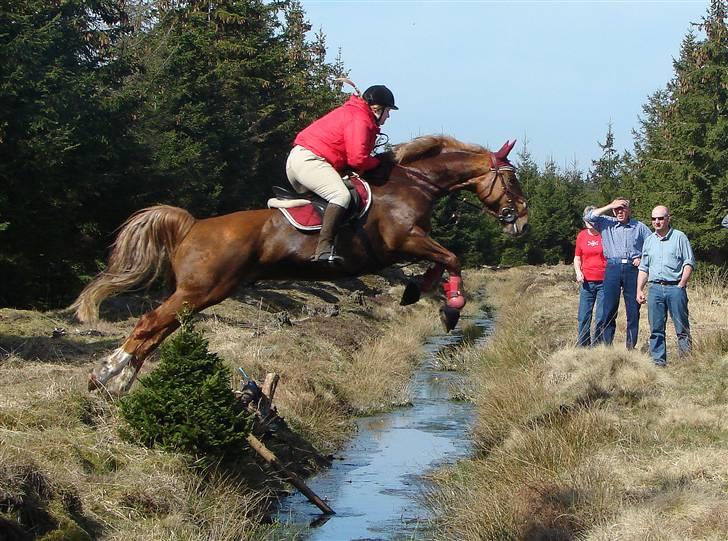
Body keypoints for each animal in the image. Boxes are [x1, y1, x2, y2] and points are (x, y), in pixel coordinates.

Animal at [72, 135, 528, 394]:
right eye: (512, 178)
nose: (521, 221)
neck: (411, 184)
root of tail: (193, 225)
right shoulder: (403, 242)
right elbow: (452, 256)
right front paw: (451, 308)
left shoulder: (410, 246)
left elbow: (443, 261)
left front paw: (422, 292)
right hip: (202, 289)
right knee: (150, 324)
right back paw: (105, 375)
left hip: (199, 294)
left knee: (158, 331)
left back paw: (118, 382)